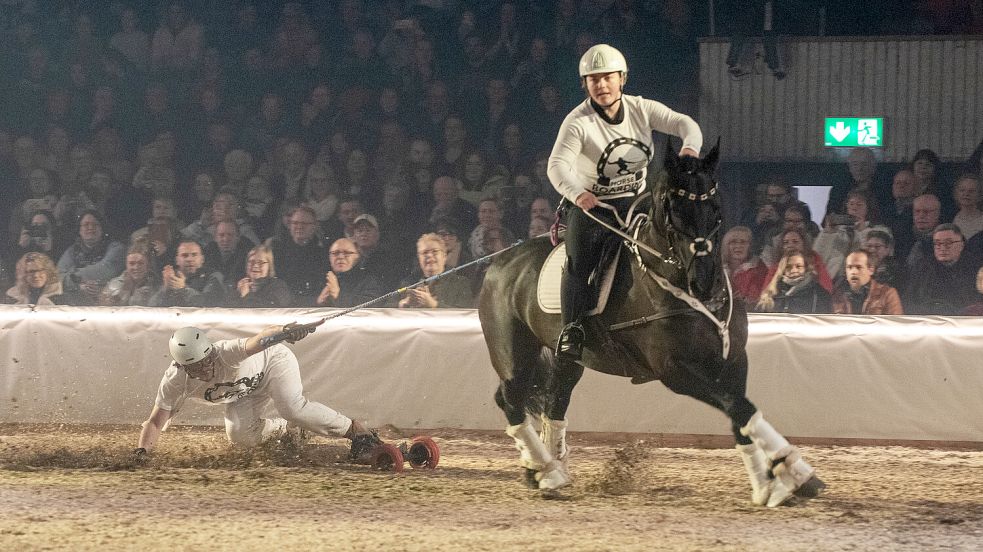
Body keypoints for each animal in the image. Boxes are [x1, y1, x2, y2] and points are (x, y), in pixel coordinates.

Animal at [477, 143, 824, 507]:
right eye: (672, 209)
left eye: (716, 205)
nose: (704, 280)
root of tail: (499, 262)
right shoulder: (674, 371)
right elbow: (738, 407)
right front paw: (791, 475)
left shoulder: (732, 361)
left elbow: (741, 415)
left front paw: (776, 481)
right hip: (513, 354)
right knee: (510, 399)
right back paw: (545, 470)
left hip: (566, 360)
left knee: (554, 402)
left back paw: (547, 470)